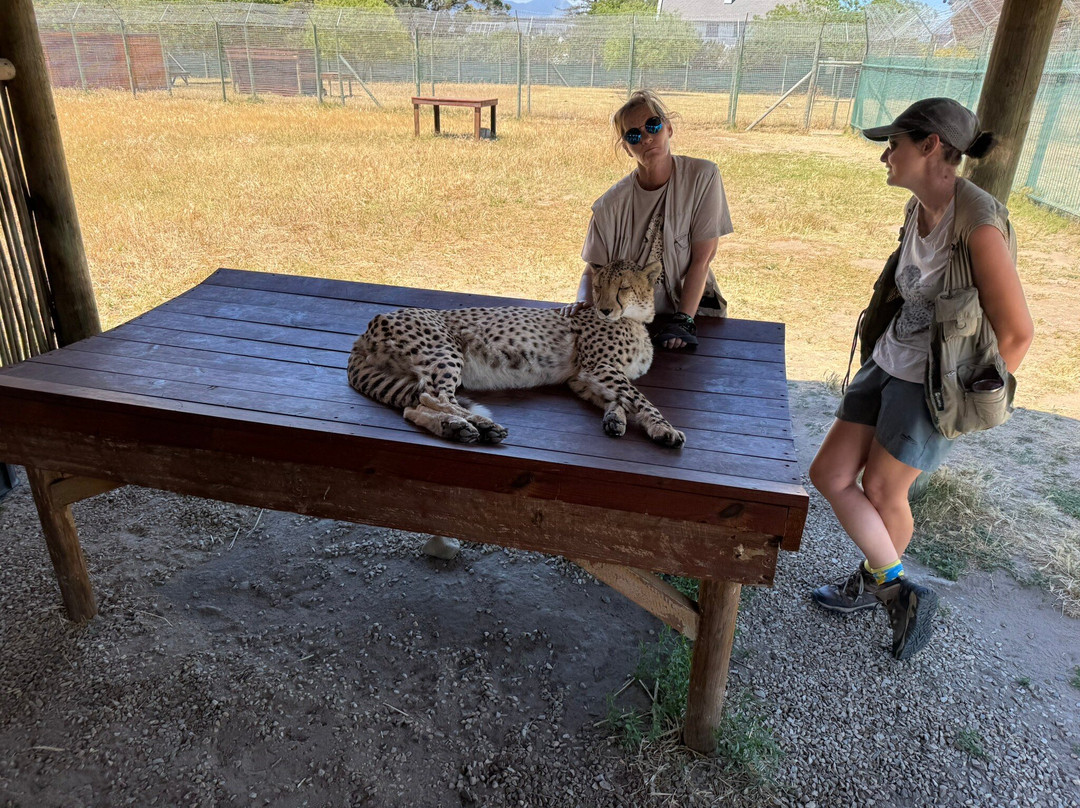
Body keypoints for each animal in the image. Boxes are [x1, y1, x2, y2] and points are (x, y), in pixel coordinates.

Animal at [346, 258, 685, 449]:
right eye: (599, 287)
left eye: (623, 287)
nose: (604, 309)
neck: (634, 319)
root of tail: (367, 329)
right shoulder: (599, 367)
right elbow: (641, 400)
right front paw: (664, 428)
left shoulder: (581, 377)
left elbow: (620, 399)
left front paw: (615, 418)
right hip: (445, 351)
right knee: (434, 397)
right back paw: (479, 425)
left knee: (413, 406)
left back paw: (456, 428)